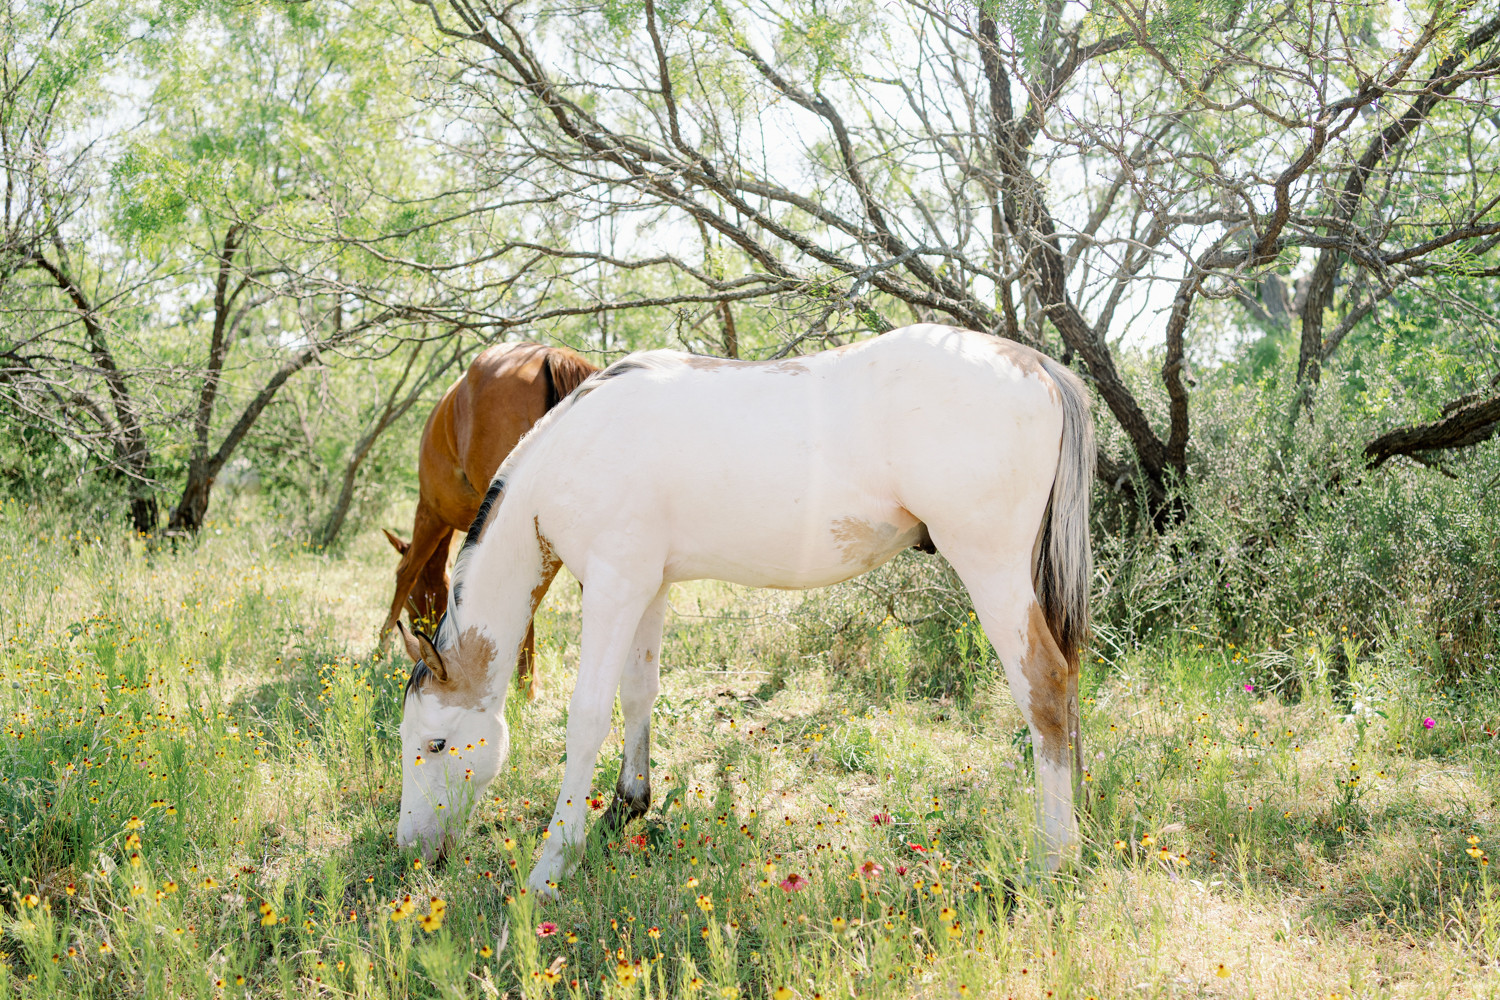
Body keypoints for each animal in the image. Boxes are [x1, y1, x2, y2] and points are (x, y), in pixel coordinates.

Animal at [380, 341, 596, 700]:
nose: (420, 633)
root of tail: (547, 353)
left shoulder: (430, 514)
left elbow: (405, 572)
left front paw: (380, 646)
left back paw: (525, 688)